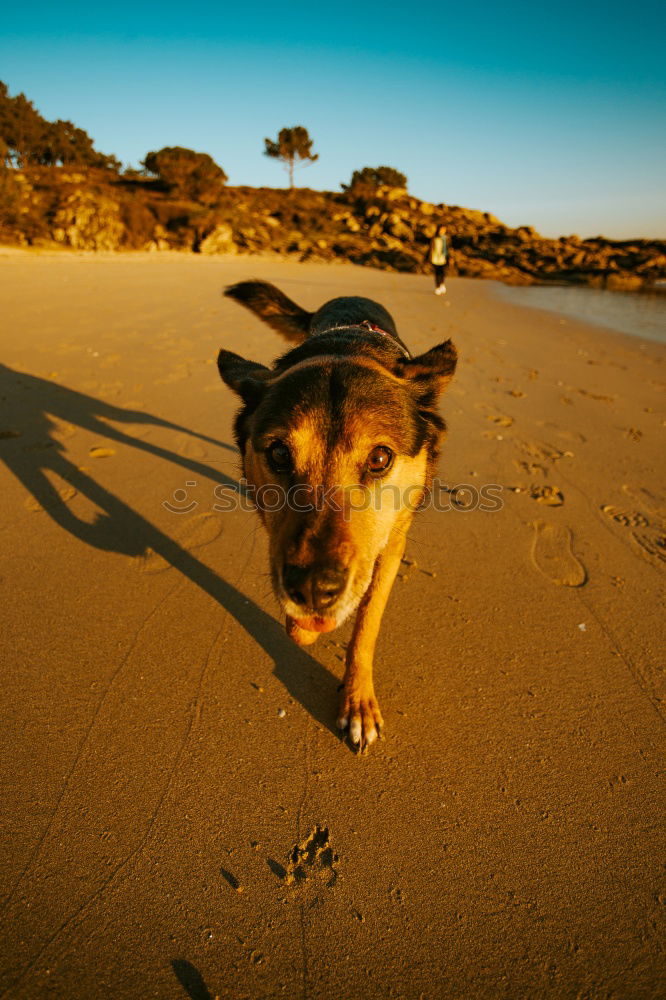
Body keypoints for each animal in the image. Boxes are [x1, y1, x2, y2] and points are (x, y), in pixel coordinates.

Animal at [219, 278, 456, 748]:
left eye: (380, 459)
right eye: (278, 454)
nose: (313, 589)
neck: (348, 347)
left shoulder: (392, 543)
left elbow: (366, 623)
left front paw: (357, 699)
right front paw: (307, 627)